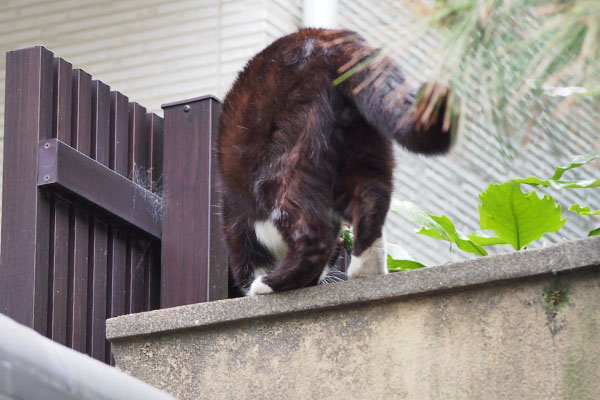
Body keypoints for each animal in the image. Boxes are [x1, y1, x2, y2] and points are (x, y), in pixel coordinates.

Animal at [216, 28, 450, 296]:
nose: (322, 279)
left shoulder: (238, 223)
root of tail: (328, 38)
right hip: (362, 142)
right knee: (372, 198)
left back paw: (270, 285)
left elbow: (246, 261)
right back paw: (366, 270)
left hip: (283, 160)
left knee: (313, 233)